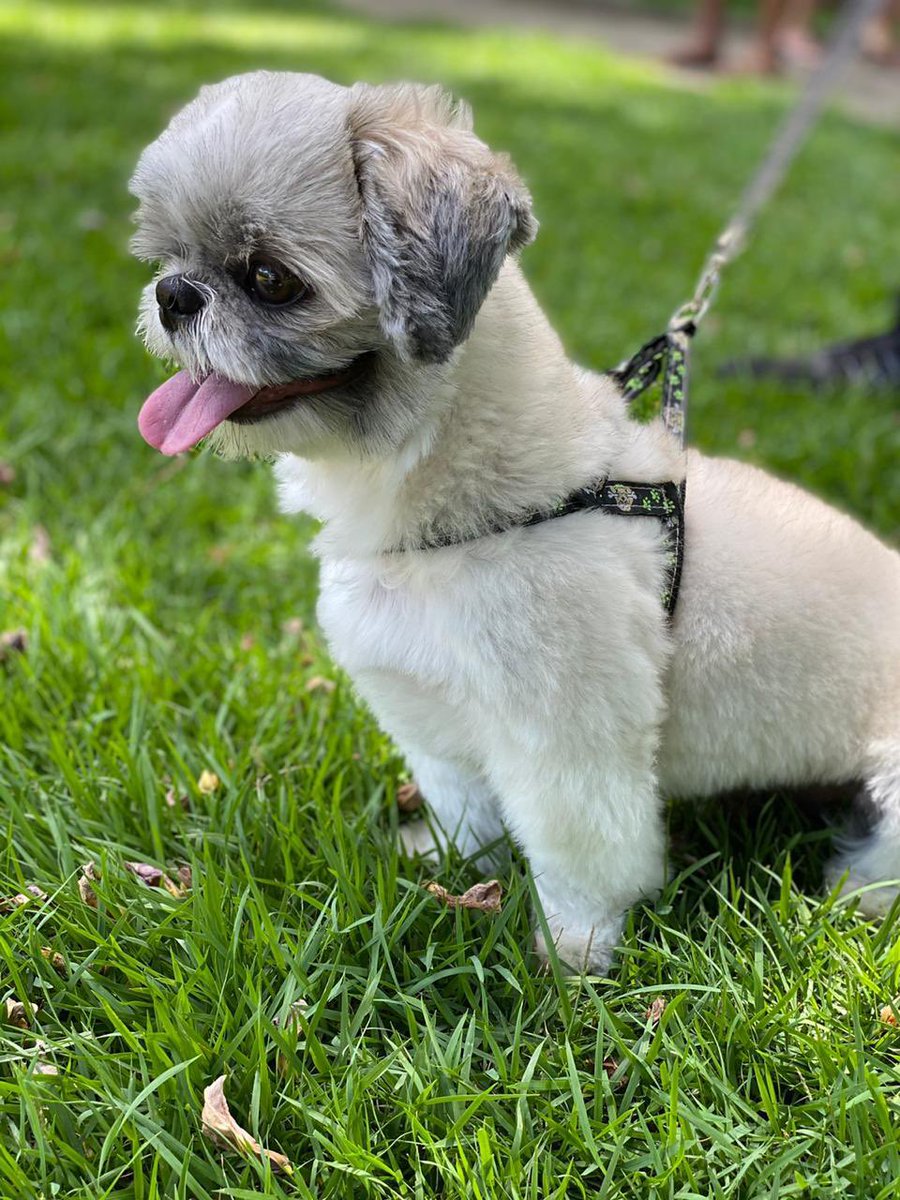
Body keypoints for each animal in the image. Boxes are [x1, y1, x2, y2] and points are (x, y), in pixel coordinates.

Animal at [131, 71, 900, 972]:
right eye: (164, 255)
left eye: (270, 277)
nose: (174, 295)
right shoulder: (436, 717)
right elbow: (467, 812)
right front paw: (447, 864)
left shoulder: (566, 738)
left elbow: (583, 860)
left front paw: (570, 957)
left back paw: (857, 891)